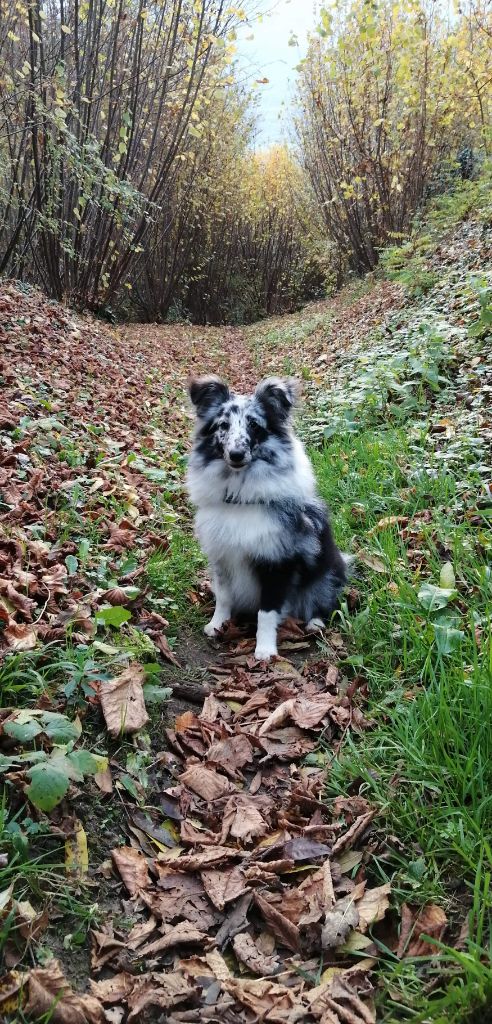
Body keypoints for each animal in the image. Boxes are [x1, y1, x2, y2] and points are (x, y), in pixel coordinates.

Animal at [185, 376, 350, 663]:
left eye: (254, 424)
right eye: (223, 425)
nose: (236, 454)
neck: (239, 496)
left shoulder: (276, 562)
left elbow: (267, 612)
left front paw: (264, 650)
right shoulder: (221, 557)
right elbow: (223, 598)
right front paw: (217, 625)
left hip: (326, 574)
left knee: (325, 602)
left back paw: (314, 623)